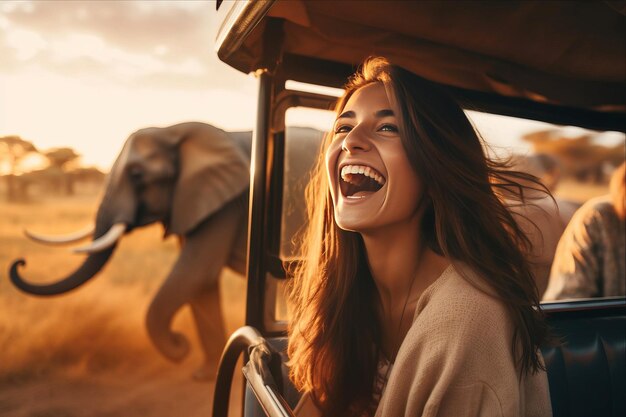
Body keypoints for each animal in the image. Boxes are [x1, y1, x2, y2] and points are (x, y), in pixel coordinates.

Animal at [8, 122, 322, 378]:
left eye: (137, 174)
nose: (20, 263)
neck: (175, 131)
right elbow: (201, 283)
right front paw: (204, 373)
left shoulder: (225, 205)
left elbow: (196, 272)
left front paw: (183, 352)